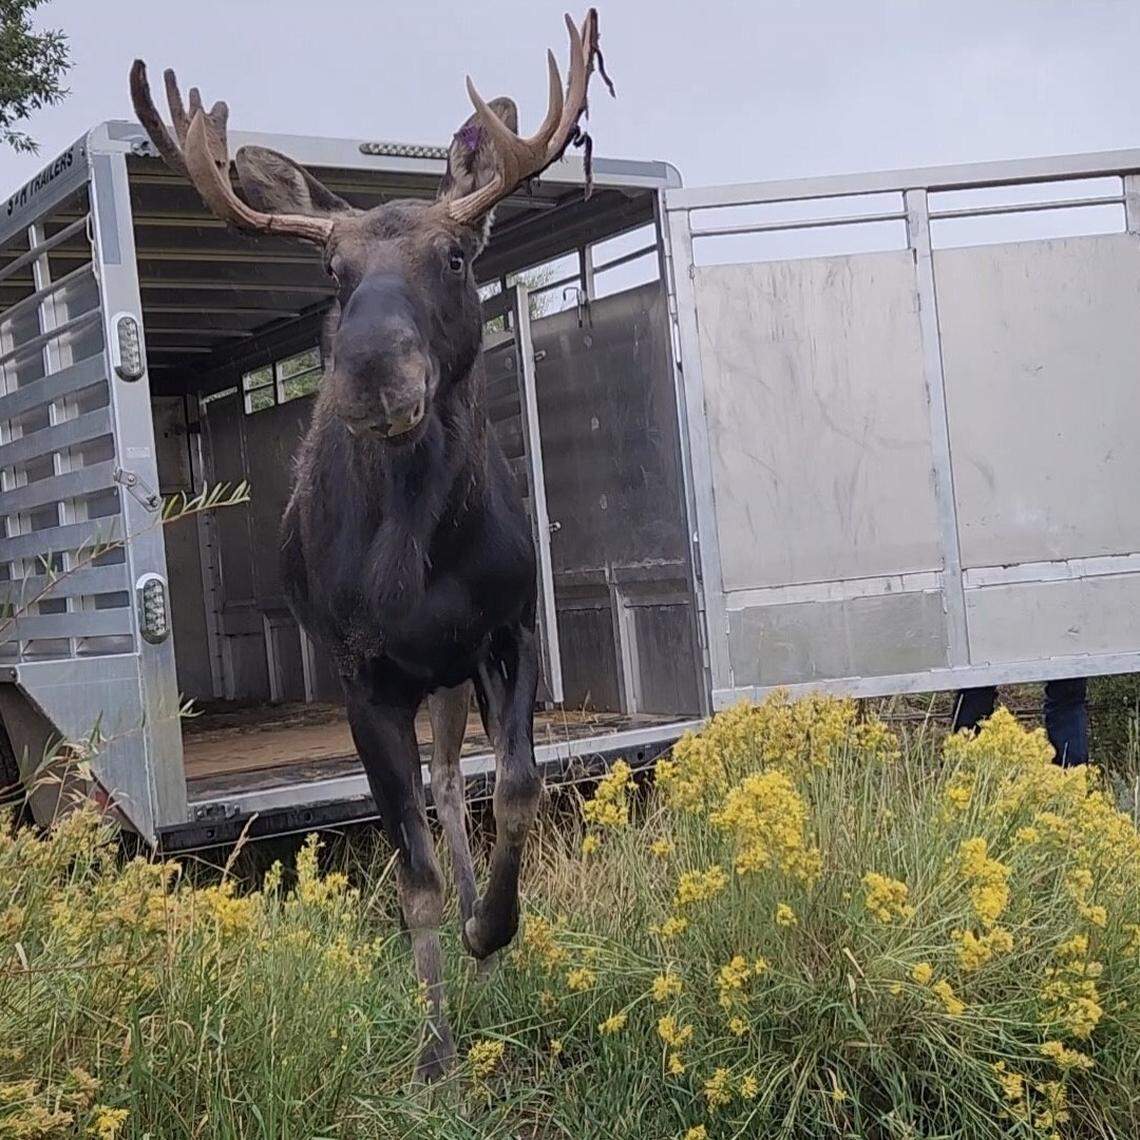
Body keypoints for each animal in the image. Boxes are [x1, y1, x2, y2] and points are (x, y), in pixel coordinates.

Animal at [129, 11, 612, 1080]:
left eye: (458, 257)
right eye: (331, 273)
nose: (369, 373)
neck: (416, 565)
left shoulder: (507, 631)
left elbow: (518, 788)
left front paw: (494, 932)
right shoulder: (362, 675)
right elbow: (412, 876)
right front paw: (435, 1055)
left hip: (452, 677)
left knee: (455, 786)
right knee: (434, 803)